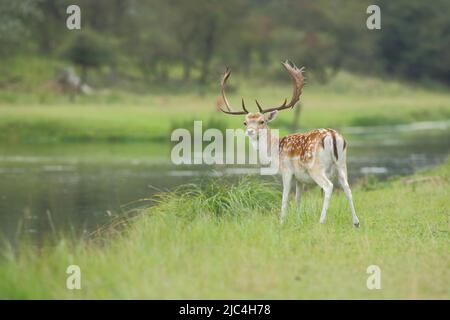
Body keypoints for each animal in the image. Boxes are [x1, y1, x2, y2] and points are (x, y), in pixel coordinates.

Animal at [217, 59, 358, 225]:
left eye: (262, 121)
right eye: (245, 122)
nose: (250, 131)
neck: (274, 151)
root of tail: (332, 136)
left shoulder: (287, 171)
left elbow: (284, 198)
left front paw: (281, 221)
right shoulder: (299, 178)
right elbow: (298, 199)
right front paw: (298, 220)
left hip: (316, 167)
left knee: (328, 187)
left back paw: (321, 221)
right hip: (342, 164)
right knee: (347, 188)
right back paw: (356, 222)